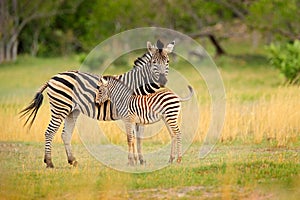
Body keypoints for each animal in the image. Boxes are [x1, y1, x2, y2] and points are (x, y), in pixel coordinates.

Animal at [20, 39, 176, 168]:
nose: (163, 81)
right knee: (49, 132)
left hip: (72, 111)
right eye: (154, 63)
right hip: (60, 108)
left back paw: (72, 161)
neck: (137, 86)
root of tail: (53, 78)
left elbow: (138, 138)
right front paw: (133, 161)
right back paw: (49, 162)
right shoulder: (130, 115)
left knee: (65, 134)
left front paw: (141, 160)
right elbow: (131, 137)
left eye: (167, 62)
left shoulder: (139, 116)